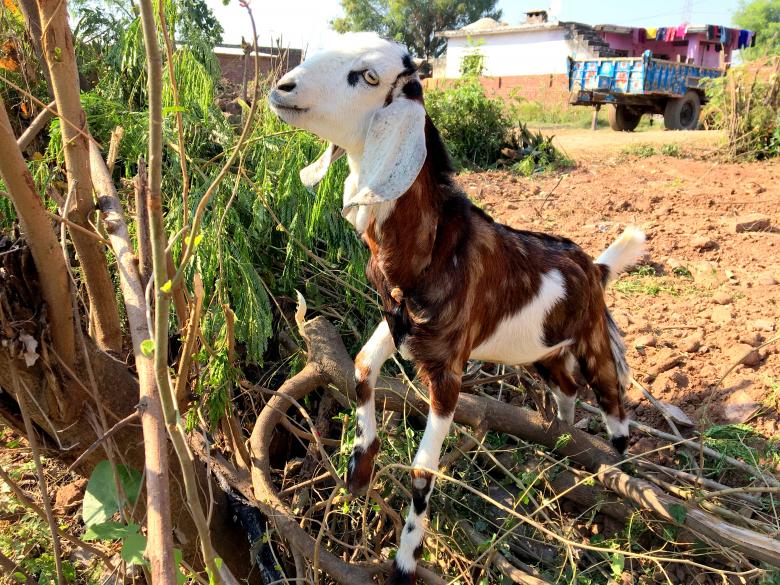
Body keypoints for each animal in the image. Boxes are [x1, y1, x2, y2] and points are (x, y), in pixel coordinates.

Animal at [269, 32, 645, 585]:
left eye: (368, 76)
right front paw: (359, 470)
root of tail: (593, 268)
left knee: (613, 401)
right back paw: (558, 441)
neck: (431, 247)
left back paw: (615, 468)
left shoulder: (447, 371)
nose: (283, 87)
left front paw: (405, 559)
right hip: (540, 352)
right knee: (567, 388)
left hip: (593, 341)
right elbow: (360, 368)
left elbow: (423, 470)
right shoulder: (398, 327)